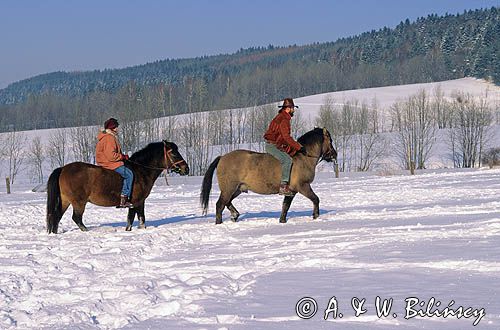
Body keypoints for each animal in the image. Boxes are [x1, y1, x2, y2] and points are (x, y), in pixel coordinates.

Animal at [46, 141, 188, 233]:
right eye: (174, 153)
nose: (186, 169)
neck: (141, 170)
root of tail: (63, 168)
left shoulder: (139, 202)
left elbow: (137, 219)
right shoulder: (136, 202)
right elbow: (134, 219)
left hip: (66, 200)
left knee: (56, 216)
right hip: (79, 202)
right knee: (76, 218)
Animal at [199, 127, 336, 223]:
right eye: (330, 140)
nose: (334, 155)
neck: (303, 157)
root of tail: (222, 157)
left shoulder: (291, 191)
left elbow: (285, 207)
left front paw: (282, 221)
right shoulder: (303, 186)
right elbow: (315, 199)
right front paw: (315, 215)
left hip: (237, 189)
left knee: (227, 203)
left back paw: (235, 215)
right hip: (229, 188)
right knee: (220, 205)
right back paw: (220, 222)